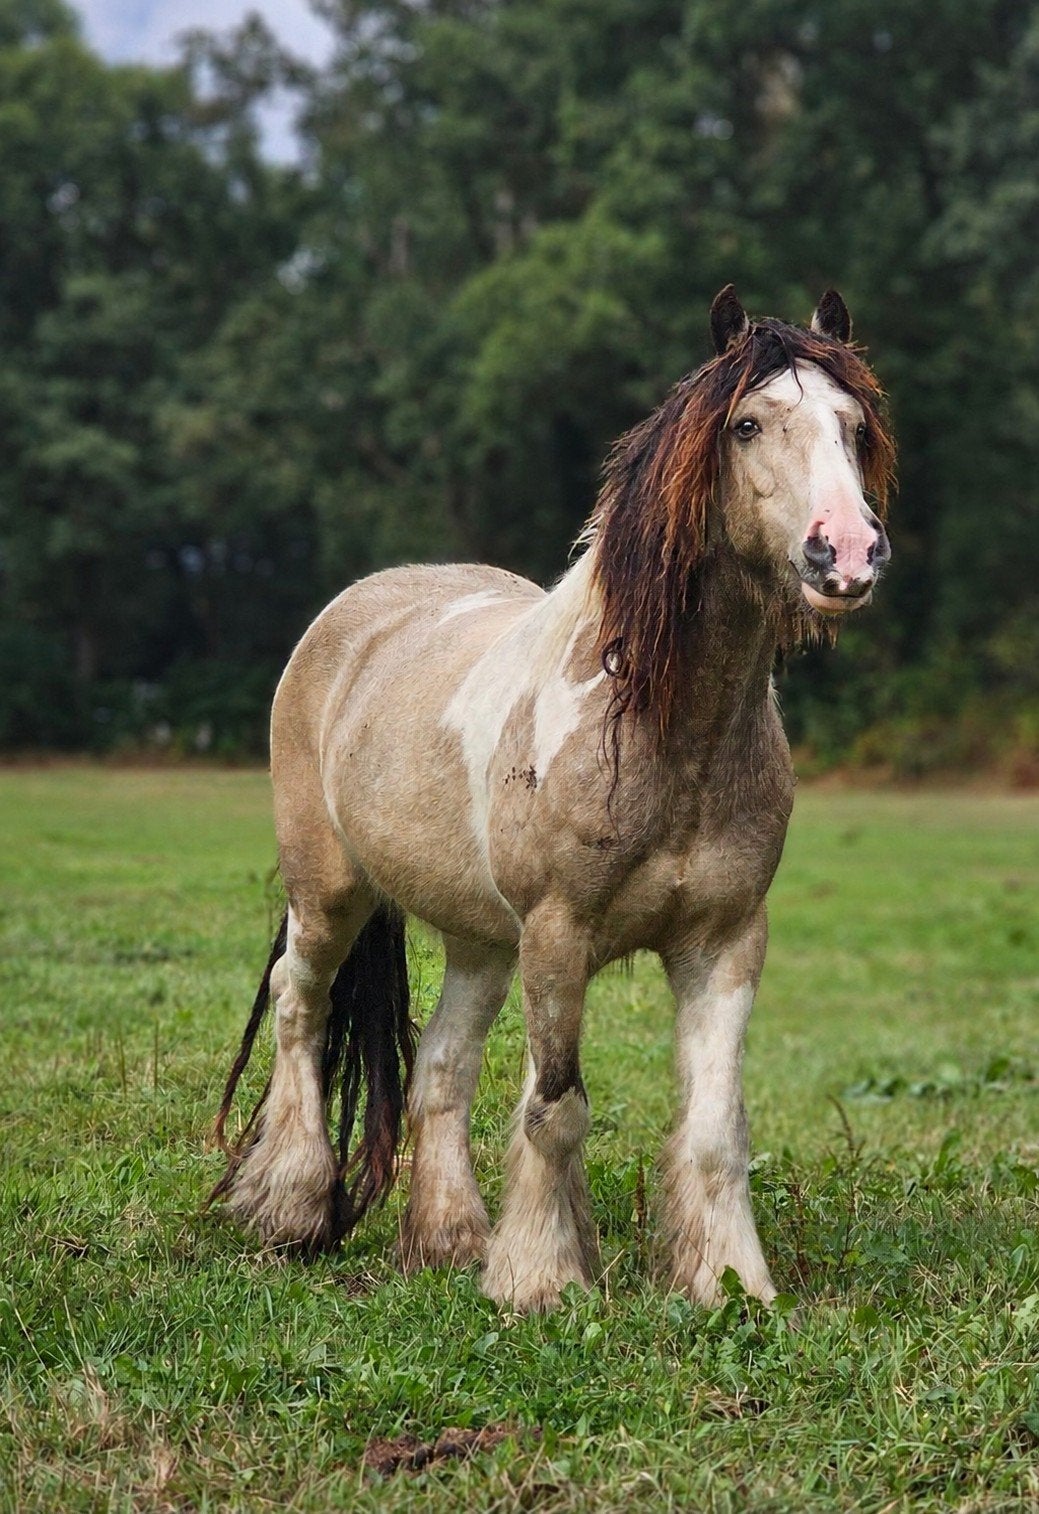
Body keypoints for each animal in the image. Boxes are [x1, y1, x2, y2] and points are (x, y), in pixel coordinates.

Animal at [209, 285, 896, 1314]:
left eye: (852, 427)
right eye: (745, 425)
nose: (844, 554)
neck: (666, 733)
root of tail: (357, 611)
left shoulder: (723, 942)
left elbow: (711, 1127)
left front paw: (728, 1281)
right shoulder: (559, 934)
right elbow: (558, 1109)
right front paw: (540, 1281)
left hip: (480, 942)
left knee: (440, 1068)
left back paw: (449, 1241)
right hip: (328, 894)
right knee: (300, 1004)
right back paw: (289, 1206)